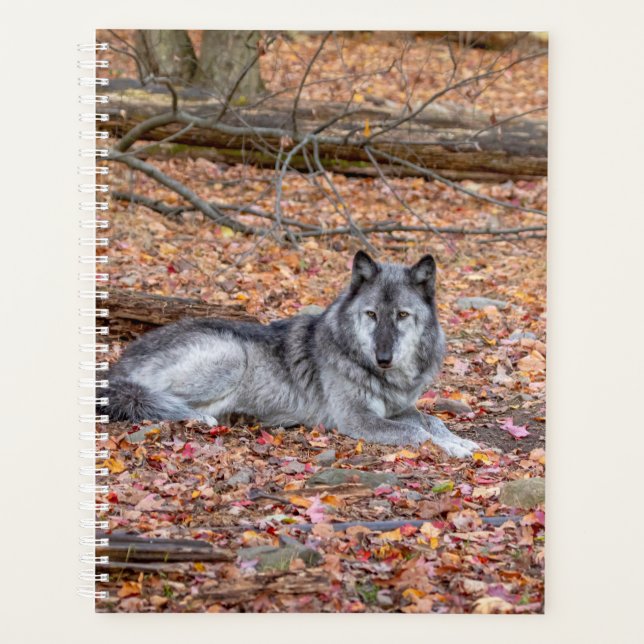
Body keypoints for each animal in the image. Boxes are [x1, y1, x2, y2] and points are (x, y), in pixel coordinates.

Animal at [103, 251, 478, 457]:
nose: (383, 358)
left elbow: (432, 422)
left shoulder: (398, 408)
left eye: (402, 315)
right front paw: (453, 449)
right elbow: (417, 434)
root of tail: (118, 363)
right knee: (154, 401)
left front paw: (464, 442)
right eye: (372, 314)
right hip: (232, 355)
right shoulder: (356, 419)